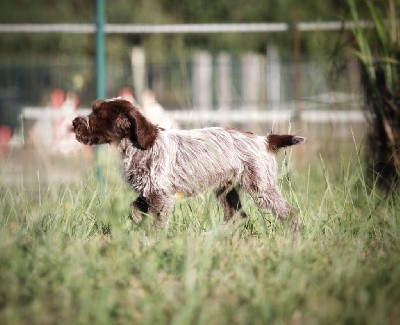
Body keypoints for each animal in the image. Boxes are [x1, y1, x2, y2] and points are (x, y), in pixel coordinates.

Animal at [72, 98, 304, 230]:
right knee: (237, 217)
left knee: (290, 214)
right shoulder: (149, 192)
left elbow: (157, 223)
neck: (136, 146)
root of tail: (263, 140)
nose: (74, 123)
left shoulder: (160, 195)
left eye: (98, 114)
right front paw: (138, 224)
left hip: (261, 187)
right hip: (225, 189)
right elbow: (134, 209)